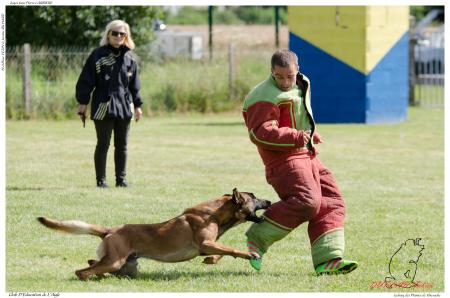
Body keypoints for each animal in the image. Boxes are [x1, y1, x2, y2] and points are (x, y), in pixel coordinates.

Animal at [37, 187, 270, 280]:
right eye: (254, 197)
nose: (269, 201)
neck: (213, 214)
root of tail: (110, 230)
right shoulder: (206, 243)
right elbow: (233, 249)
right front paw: (251, 254)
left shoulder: (210, 244)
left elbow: (224, 251)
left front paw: (211, 260)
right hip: (115, 261)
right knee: (82, 271)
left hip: (123, 263)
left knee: (92, 263)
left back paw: (101, 276)